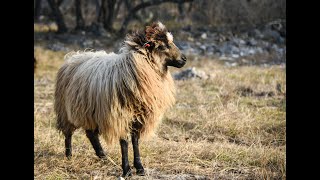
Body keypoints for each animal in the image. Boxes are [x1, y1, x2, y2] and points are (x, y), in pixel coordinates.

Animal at [53, 21, 186, 177]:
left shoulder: (139, 117)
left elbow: (135, 141)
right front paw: (127, 170)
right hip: (65, 109)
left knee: (91, 134)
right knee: (68, 133)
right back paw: (69, 156)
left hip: (90, 110)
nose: (184, 59)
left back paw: (103, 156)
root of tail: (74, 56)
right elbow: (124, 143)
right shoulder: (121, 115)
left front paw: (139, 167)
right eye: (162, 46)